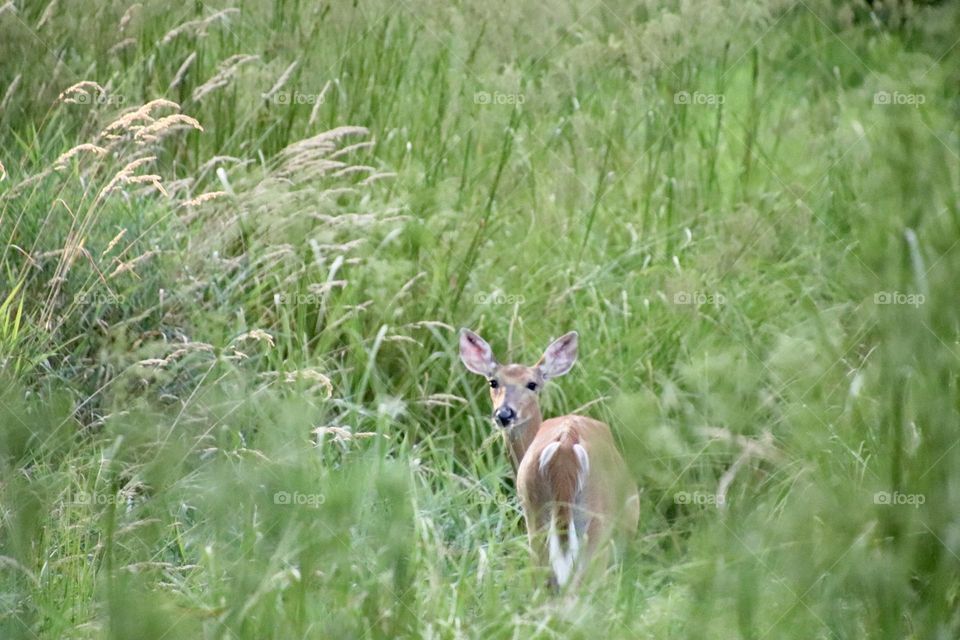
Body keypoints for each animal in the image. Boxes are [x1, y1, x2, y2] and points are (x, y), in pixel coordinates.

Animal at [458, 330, 636, 592]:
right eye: (494, 382)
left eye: (532, 384)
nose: (504, 414)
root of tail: (566, 446)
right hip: (595, 518)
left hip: (537, 511)